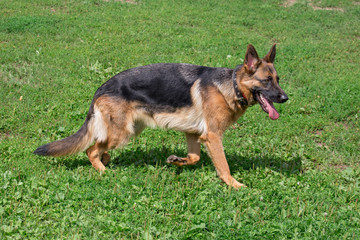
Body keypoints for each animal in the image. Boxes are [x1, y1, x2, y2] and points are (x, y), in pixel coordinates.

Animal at [33, 44, 286, 188]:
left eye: (278, 80)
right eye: (266, 81)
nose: (285, 98)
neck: (231, 86)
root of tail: (101, 88)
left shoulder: (194, 134)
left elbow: (194, 157)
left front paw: (177, 161)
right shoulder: (213, 137)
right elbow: (223, 166)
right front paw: (235, 186)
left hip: (129, 130)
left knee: (100, 149)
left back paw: (105, 163)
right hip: (122, 133)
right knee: (91, 150)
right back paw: (104, 172)